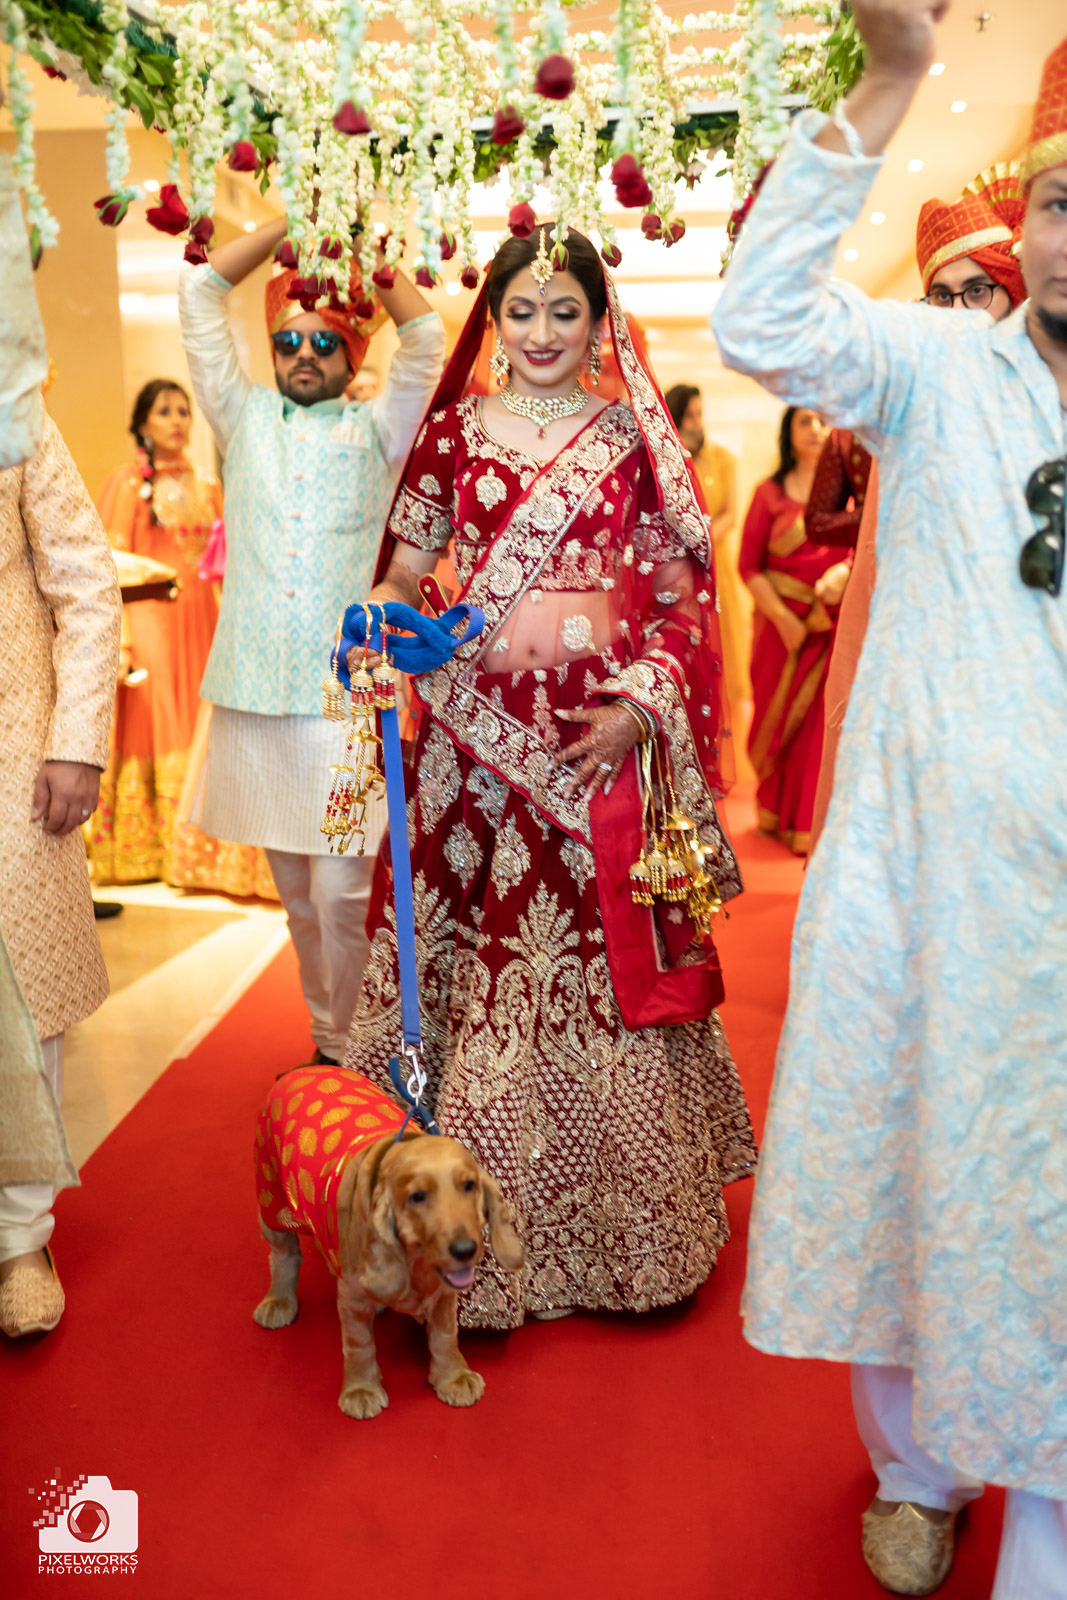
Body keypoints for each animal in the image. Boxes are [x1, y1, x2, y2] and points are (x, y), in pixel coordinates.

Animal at [251, 1068, 524, 1420]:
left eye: (469, 1186)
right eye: (417, 1196)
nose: (465, 1250)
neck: (415, 1265)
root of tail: (303, 1069)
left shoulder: (444, 1294)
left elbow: (445, 1337)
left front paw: (453, 1377)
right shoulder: (351, 1300)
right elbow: (359, 1347)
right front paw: (361, 1390)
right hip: (270, 1202)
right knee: (284, 1256)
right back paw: (278, 1301)